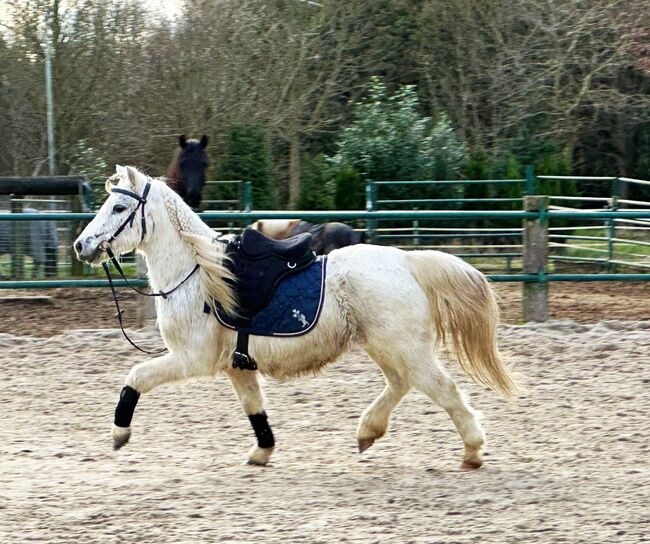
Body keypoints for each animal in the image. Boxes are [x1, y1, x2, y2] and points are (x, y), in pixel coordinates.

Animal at [73, 166, 512, 468]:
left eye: (119, 206)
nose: (82, 245)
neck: (198, 271)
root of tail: (407, 261)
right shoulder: (237, 366)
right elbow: (255, 408)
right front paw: (261, 452)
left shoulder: (191, 359)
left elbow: (135, 378)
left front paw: (119, 432)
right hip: (388, 347)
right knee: (402, 384)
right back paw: (367, 432)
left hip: (404, 348)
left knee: (443, 390)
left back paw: (472, 451)